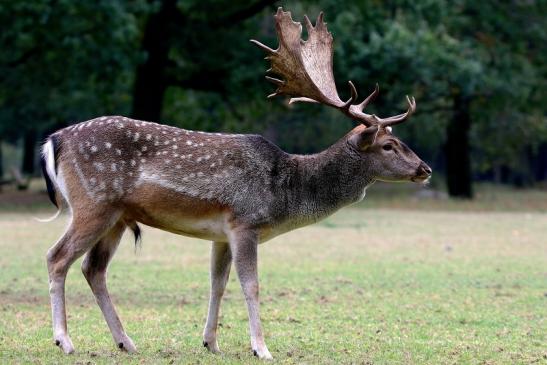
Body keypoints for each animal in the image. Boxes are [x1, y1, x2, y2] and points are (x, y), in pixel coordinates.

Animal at [39, 7, 432, 360]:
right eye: (388, 144)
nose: (425, 168)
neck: (287, 190)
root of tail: (53, 141)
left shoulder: (221, 232)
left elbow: (218, 283)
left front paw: (211, 342)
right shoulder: (245, 221)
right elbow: (251, 285)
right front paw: (261, 348)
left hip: (118, 216)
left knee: (93, 268)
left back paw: (126, 342)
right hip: (93, 203)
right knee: (57, 257)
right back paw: (65, 341)